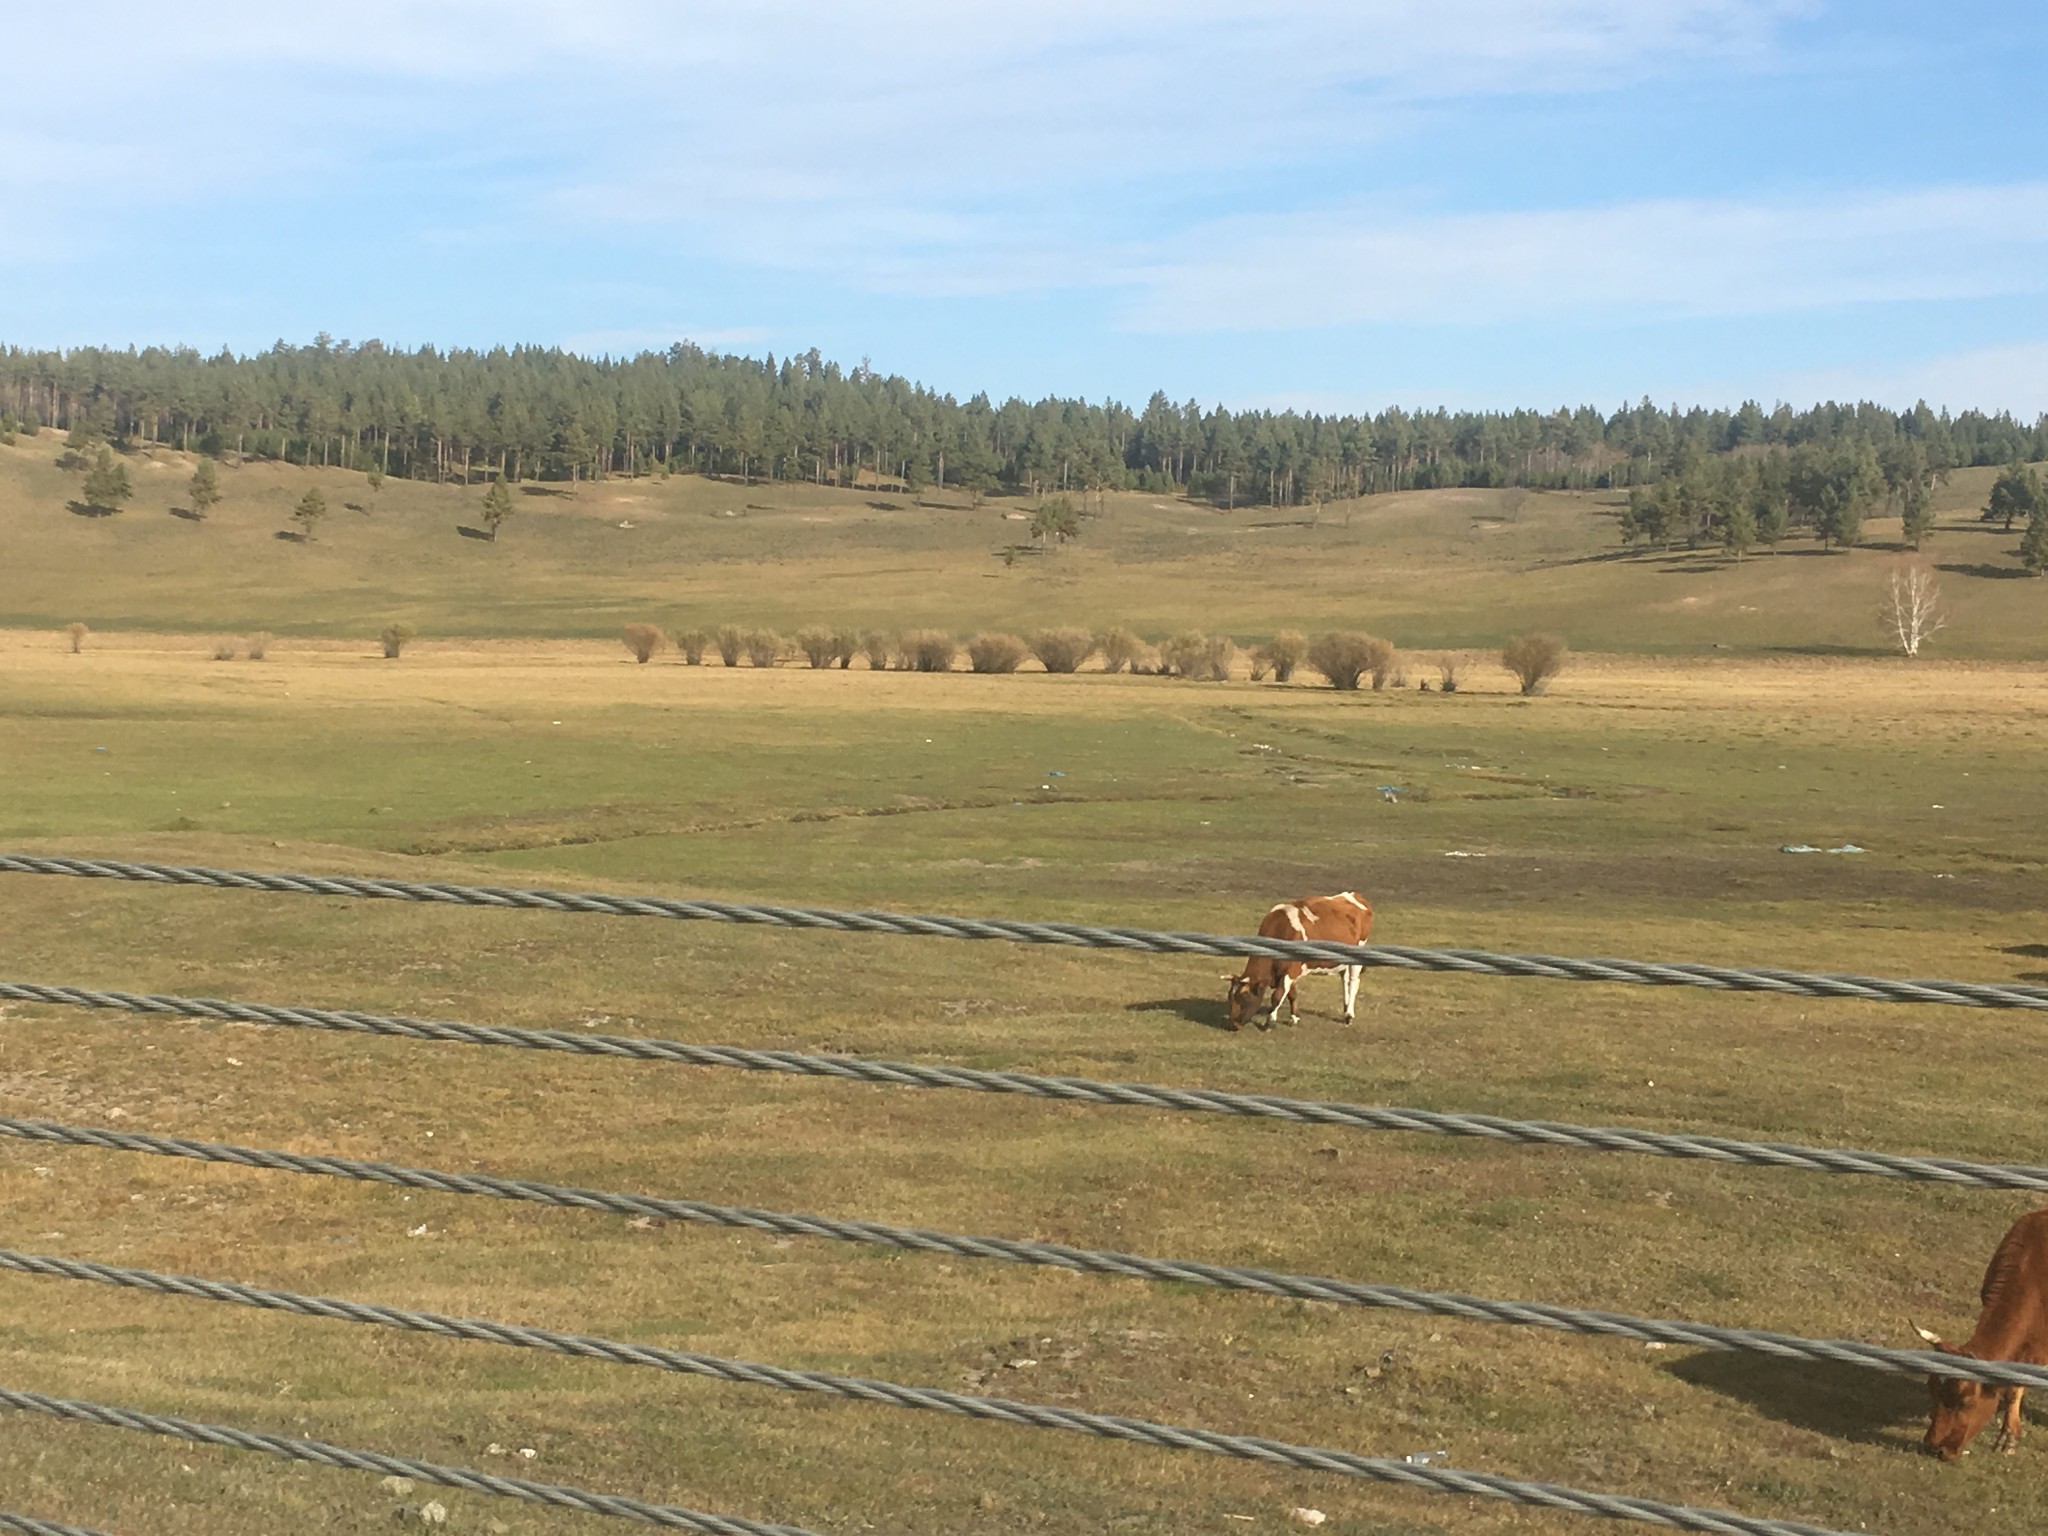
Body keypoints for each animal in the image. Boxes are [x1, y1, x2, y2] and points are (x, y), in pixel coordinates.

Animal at [1212, 888, 1376, 1036]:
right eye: (1230, 997)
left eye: (1244, 997)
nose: (1232, 1025)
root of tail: (1354, 895)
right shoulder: (1288, 970)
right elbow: (1292, 994)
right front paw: (1294, 1018)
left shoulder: (1290, 970)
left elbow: (1277, 996)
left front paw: (1270, 1022)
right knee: (1345, 980)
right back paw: (1346, 1007)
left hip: (1358, 951)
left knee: (1354, 981)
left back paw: (1349, 1015)